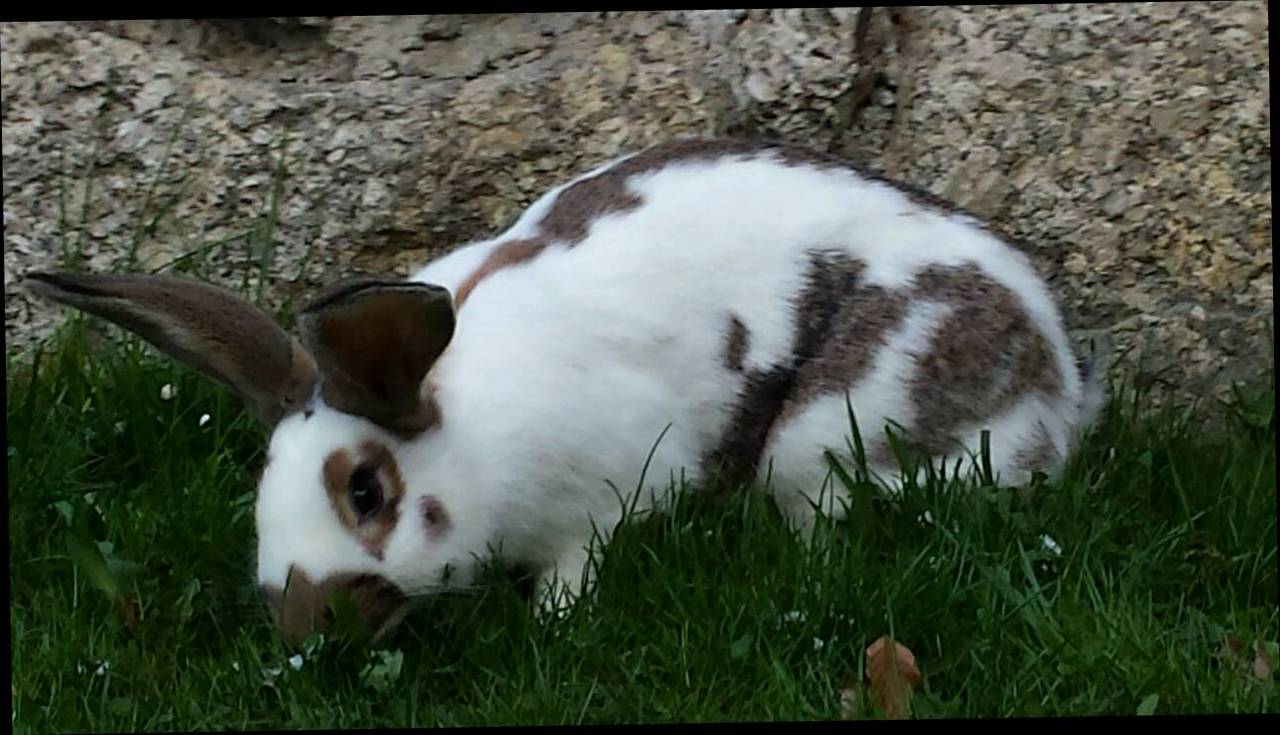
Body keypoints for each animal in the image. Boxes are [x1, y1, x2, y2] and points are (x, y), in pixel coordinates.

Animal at [22, 138, 1100, 645]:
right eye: (260, 492)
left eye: (367, 491)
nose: (304, 624)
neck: (469, 425)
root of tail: (1057, 388)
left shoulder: (600, 497)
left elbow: (576, 572)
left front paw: (550, 624)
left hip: (833, 429)